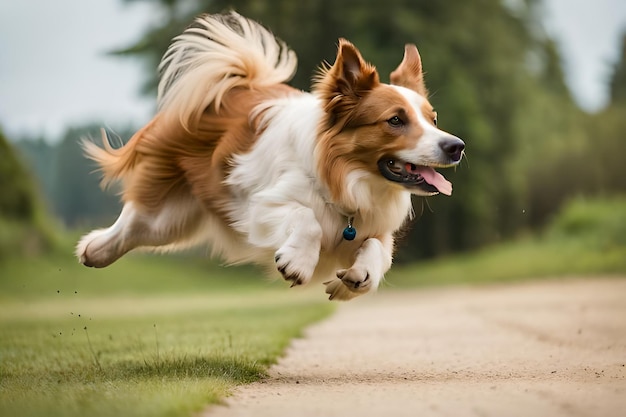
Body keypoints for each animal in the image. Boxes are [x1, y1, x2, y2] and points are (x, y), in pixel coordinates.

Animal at [74, 11, 464, 300]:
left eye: (432, 120)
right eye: (395, 120)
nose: (456, 146)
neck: (346, 179)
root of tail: (231, 88)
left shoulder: (374, 227)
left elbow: (378, 249)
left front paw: (357, 276)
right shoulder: (259, 206)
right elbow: (307, 218)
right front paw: (298, 262)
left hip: (175, 222)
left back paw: (94, 251)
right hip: (166, 212)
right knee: (131, 222)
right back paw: (92, 250)